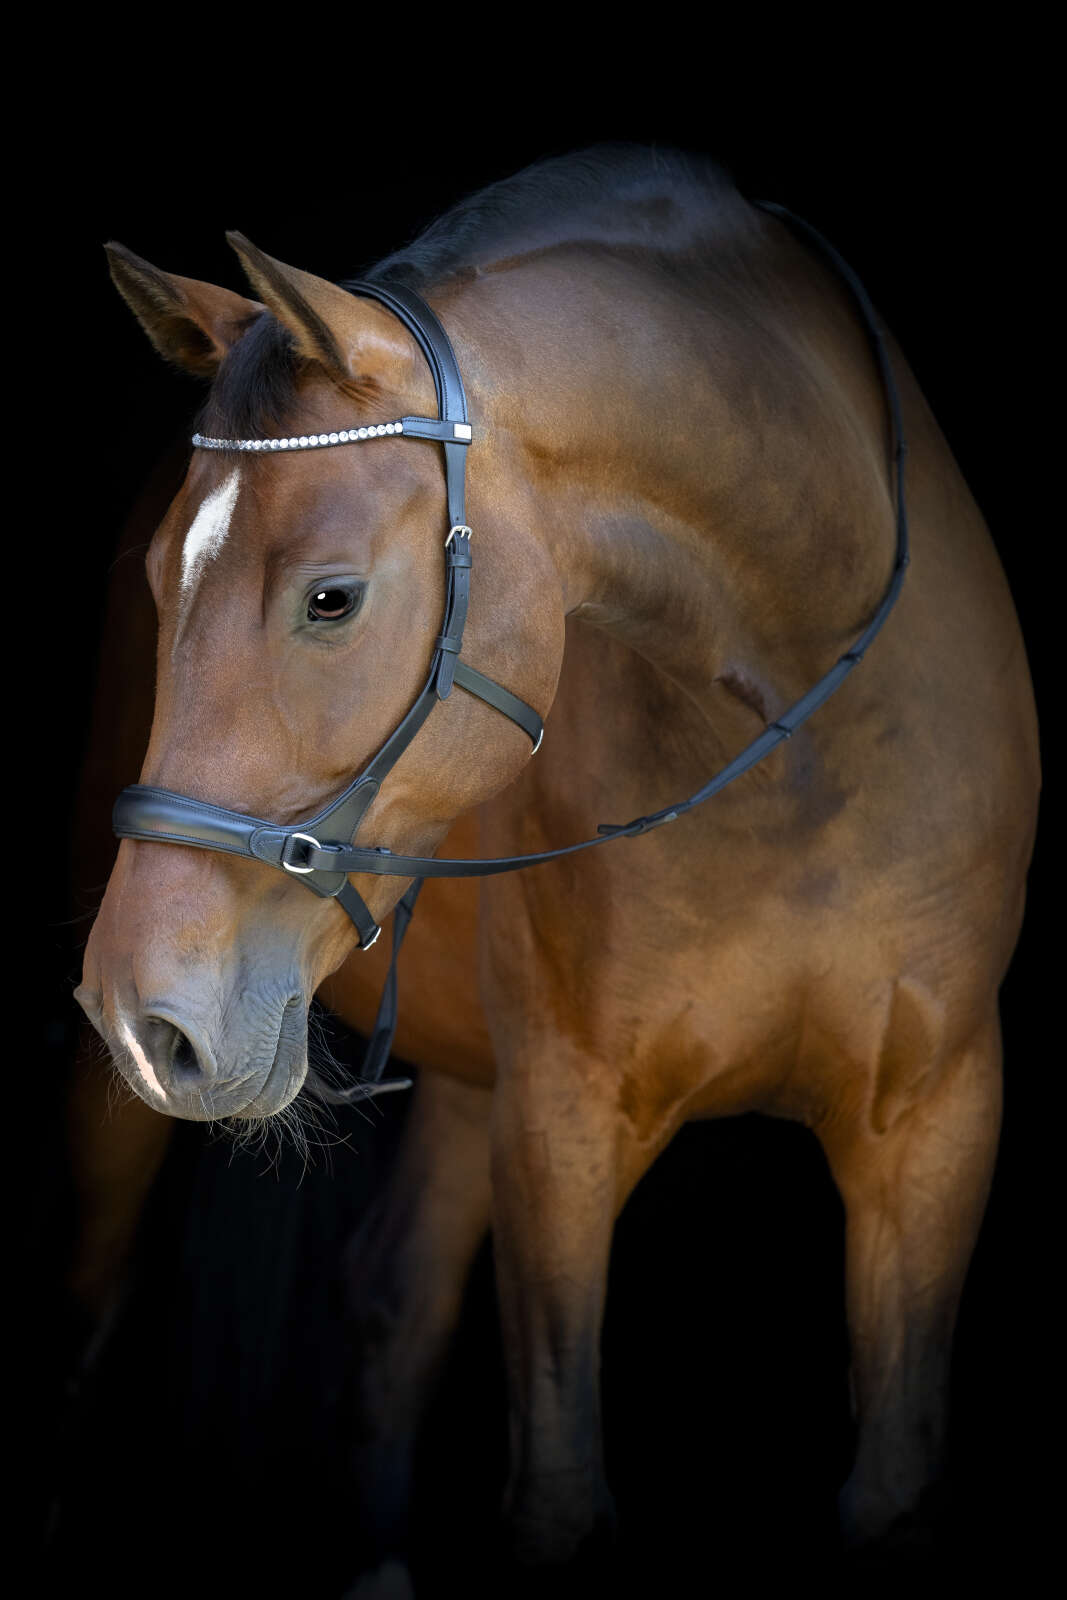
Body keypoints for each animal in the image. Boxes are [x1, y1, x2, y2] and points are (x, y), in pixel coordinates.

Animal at [73, 144, 1039, 1586]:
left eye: (330, 597)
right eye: (152, 582)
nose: (148, 1019)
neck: (805, 751)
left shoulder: (935, 1119)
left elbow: (891, 1485)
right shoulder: (560, 1120)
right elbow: (560, 1492)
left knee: (387, 1301)